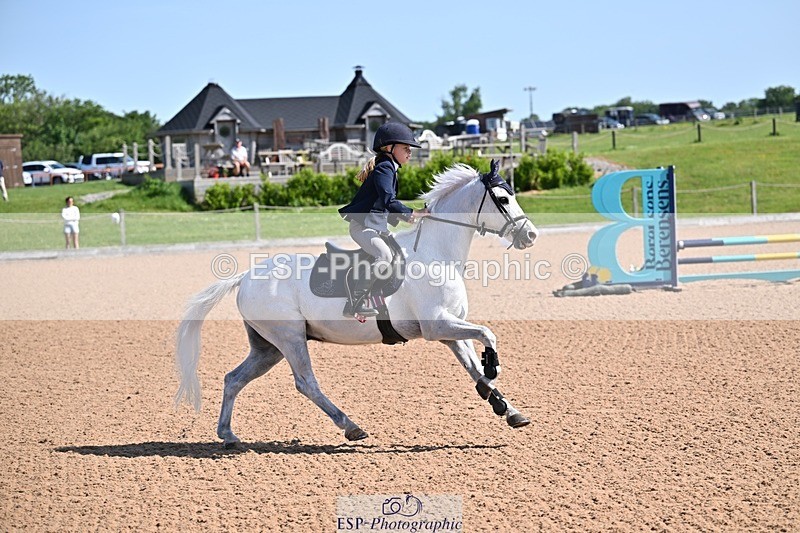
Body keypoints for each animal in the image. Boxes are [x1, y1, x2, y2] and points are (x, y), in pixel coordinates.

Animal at [175, 160, 539, 446]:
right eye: (503, 198)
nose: (531, 235)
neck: (437, 253)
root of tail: (246, 277)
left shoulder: (450, 330)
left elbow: (473, 366)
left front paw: (507, 408)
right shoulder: (437, 325)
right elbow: (488, 336)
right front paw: (493, 372)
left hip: (268, 348)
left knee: (234, 379)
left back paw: (228, 435)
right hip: (289, 338)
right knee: (306, 383)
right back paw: (351, 427)